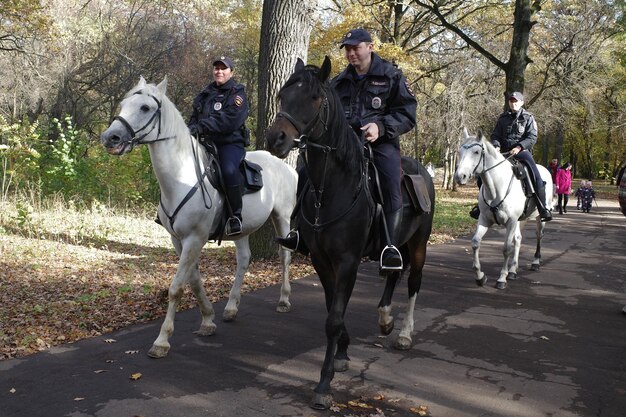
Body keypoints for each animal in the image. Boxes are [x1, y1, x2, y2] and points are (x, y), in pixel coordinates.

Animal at [101, 76, 296, 356]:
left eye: (145, 108)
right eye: (123, 104)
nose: (110, 137)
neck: (181, 176)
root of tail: (287, 167)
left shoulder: (195, 238)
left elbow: (176, 288)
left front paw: (162, 340)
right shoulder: (178, 240)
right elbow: (193, 281)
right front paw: (207, 319)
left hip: (282, 218)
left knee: (284, 255)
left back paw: (283, 299)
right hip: (242, 229)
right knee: (243, 260)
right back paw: (231, 308)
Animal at [264, 57, 434, 408]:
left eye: (314, 98)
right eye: (283, 95)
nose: (276, 139)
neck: (333, 188)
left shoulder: (347, 262)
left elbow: (334, 318)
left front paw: (323, 385)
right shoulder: (321, 260)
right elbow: (334, 310)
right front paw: (341, 352)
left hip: (419, 245)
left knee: (413, 283)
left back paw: (404, 334)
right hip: (395, 245)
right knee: (393, 273)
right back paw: (385, 319)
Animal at [454, 128, 552, 288]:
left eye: (476, 152)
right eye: (460, 151)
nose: (459, 176)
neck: (496, 188)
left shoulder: (511, 221)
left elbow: (506, 248)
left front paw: (501, 278)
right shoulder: (485, 220)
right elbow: (475, 243)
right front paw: (480, 276)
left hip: (539, 217)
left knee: (539, 236)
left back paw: (535, 262)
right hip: (520, 220)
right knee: (518, 239)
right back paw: (513, 270)